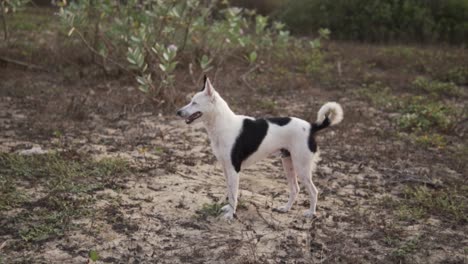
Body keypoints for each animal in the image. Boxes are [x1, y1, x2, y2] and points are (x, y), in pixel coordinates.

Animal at [176, 76, 344, 221]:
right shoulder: (225, 168)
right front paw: (228, 209)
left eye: (194, 103)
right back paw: (286, 208)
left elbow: (233, 194)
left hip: (301, 167)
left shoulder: (234, 169)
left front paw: (231, 214)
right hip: (288, 163)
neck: (223, 125)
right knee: (295, 189)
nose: (178, 112)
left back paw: (311, 213)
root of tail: (311, 127)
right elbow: (229, 191)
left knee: (314, 191)